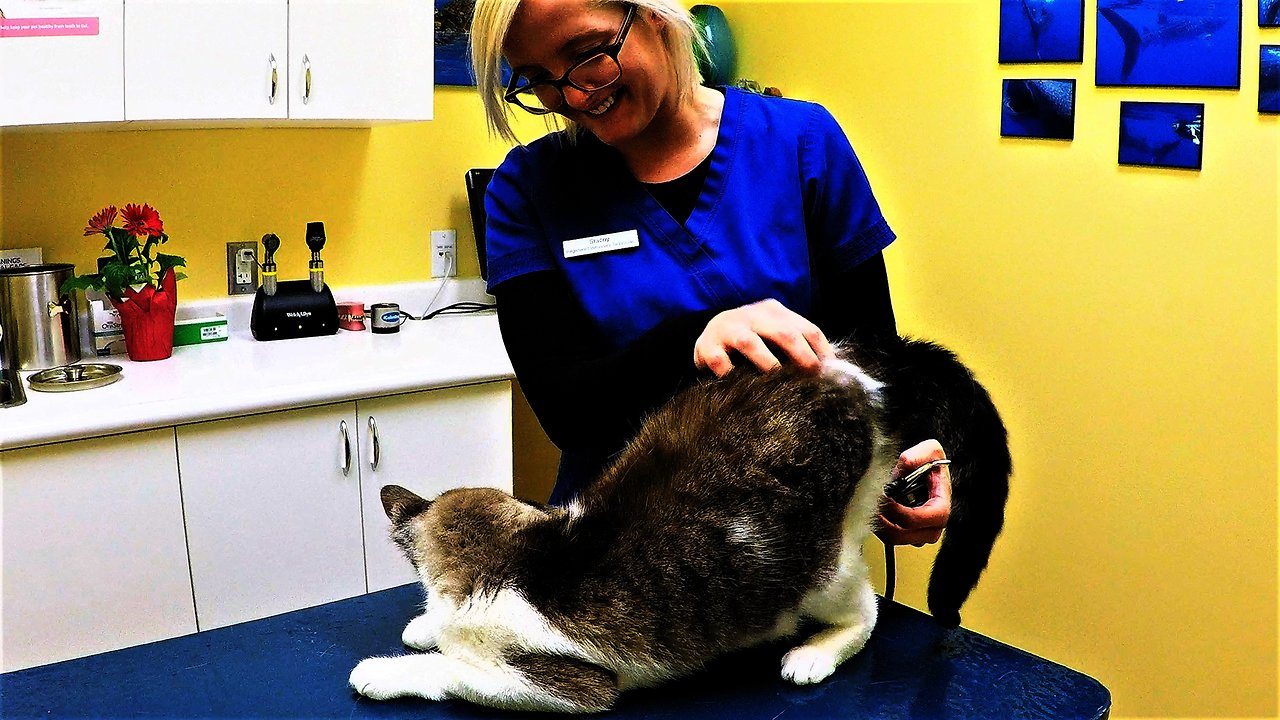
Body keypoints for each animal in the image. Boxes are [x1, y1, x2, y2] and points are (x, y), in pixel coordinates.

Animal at [350, 335, 1008, 712]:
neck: (519, 559)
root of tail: (855, 371)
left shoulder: (567, 684)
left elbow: (454, 670)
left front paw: (385, 669)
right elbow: (439, 635)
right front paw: (424, 626)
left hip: (816, 565)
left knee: (866, 609)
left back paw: (814, 654)